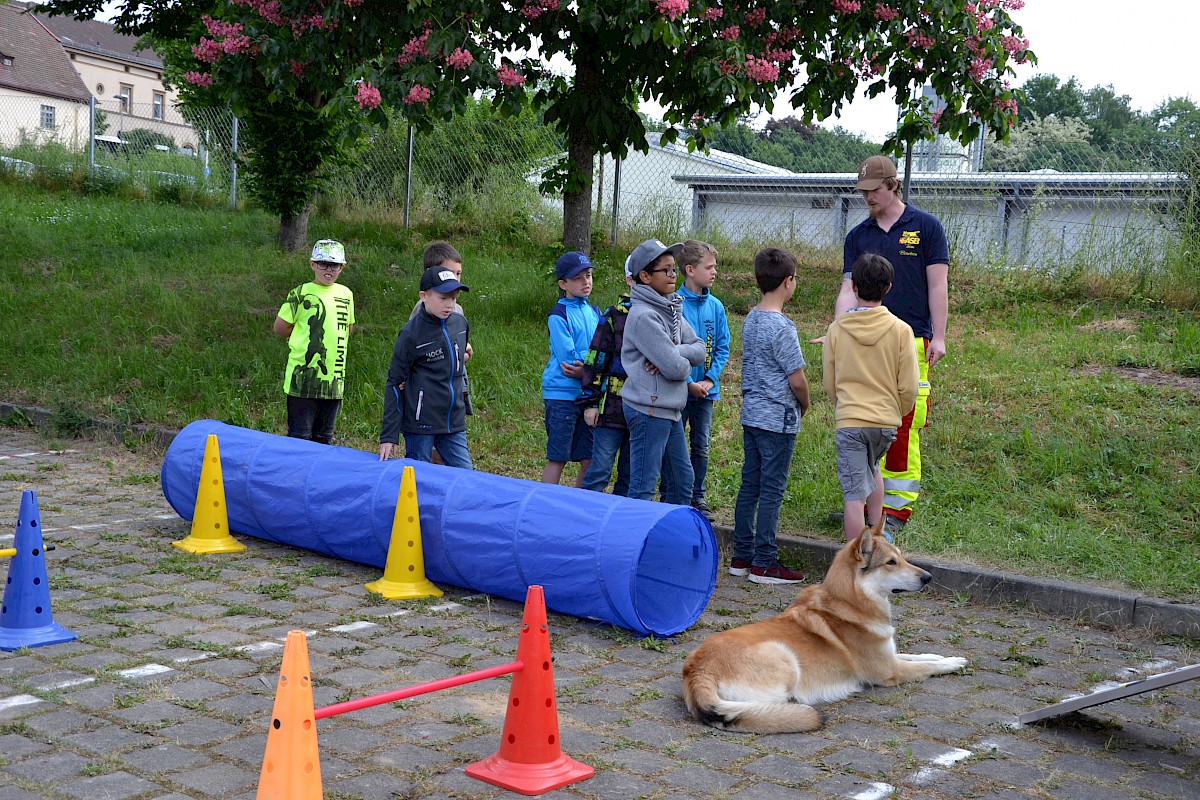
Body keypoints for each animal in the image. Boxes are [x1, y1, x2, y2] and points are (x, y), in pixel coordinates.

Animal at [681, 522, 969, 734]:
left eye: (901, 557)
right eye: (890, 562)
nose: (928, 577)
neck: (848, 602)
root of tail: (697, 670)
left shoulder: (889, 655)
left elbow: (919, 655)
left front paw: (944, 655)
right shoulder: (889, 670)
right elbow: (925, 666)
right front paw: (952, 663)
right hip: (785, 660)